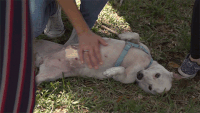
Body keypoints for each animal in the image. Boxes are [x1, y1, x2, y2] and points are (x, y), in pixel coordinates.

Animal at [34, 32, 178, 94]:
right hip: (43, 44)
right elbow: (136, 36)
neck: (144, 65)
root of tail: (43, 58)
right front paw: (123, 35)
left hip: (50, 75)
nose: (140, 75)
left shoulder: (126, 78)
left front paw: (110, 71)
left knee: (36, 78)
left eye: (150, 88)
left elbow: (120, 70)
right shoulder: (143, 46)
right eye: (157, 75)